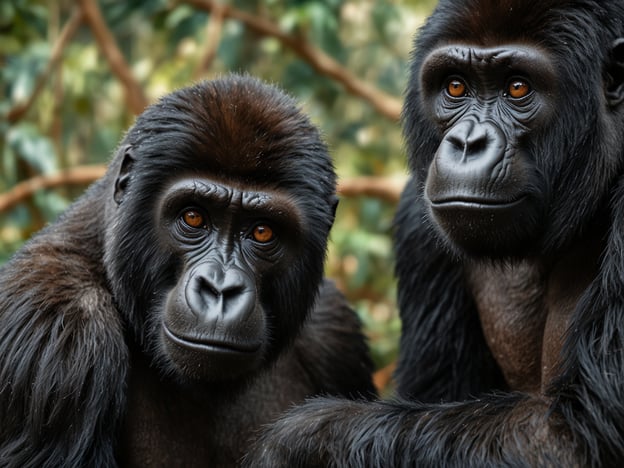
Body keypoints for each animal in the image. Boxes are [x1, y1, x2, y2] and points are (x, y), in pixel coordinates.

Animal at [243, 1, 624, 466]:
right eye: (455, 87)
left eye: (517, 88)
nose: (467, 142)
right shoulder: (418, 219)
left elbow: (572, 438)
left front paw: (302, 438)